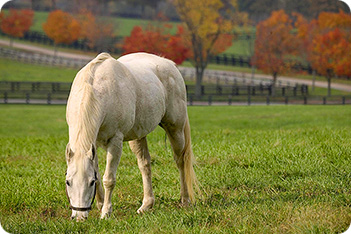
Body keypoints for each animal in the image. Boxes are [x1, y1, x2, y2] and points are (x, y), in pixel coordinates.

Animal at [65, 52, 198, 220]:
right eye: (68, 182)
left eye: (90, 182)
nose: (79, 217)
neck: (98, 90)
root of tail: (170, 64)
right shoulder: (92, 144)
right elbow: (99, 174)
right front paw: (100, 205)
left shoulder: (115, 142)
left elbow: (108, 178)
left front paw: (106, 213)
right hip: (138, 136)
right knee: (145, 165)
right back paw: (146, 205)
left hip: (176, 129)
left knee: (181, 161)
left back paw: (185, 200)